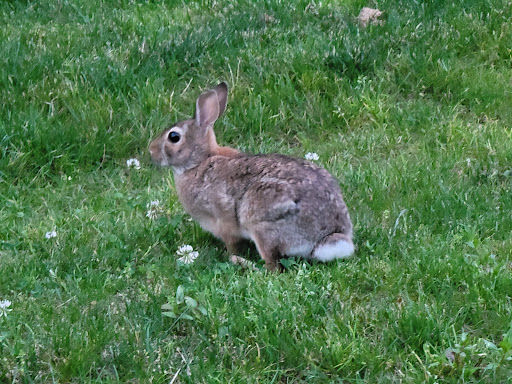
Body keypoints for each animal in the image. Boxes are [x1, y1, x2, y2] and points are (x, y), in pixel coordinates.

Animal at [150, 82, 354, 272]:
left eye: (173, 137)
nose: (151, 150)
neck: (199, 162)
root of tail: (327, 235)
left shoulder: (223, 220)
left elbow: (232, 243)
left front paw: (230, 255)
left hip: (260, 222)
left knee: (272, 267)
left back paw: (242, 263)